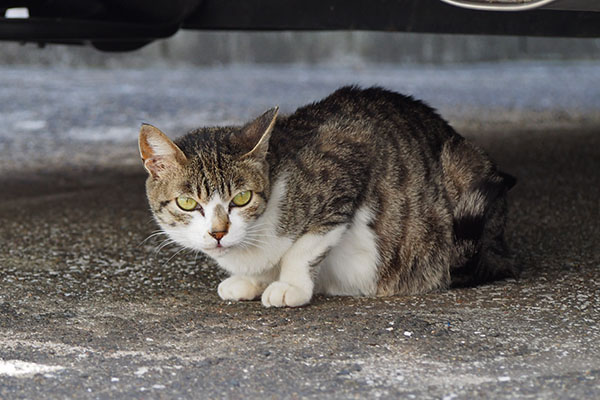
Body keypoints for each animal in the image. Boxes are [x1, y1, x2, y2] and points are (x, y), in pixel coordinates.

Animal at [138, 86, 516, 308]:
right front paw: (253, 280)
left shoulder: (347, 160)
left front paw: (289, 285)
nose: (218, 232)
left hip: (459, 166)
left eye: (242, 198)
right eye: (188, 203)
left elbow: (304, 246)